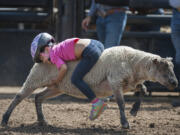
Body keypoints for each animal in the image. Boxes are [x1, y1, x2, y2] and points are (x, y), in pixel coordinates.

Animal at [0, 46, 178, 129]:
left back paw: (43, 121)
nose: (175, 83)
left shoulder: (129, 83)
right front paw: (125, 123)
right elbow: (121, 104)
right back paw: (5, 120)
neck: (133, 63)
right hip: (35, 78)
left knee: (38, 97)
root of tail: (44, 55)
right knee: (18, 97)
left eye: (171, 67)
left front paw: (134, 110)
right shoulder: (115, 82)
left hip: (56, 86)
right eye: (164, 68)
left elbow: (143, 91)